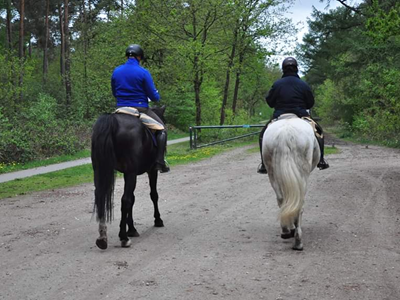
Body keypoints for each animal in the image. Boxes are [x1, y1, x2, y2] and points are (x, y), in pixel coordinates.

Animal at [91, 106, 166, 250]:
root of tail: (112, 120)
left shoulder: (130, 173)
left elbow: (133, 198)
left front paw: (131, 228)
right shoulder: (150, 171)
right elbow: (153, 195)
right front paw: (158, 220)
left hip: (100, 170)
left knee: (101, 196)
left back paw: (102, 238)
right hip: (131, 173)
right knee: (125, 200)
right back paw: (123, 238)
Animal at [260, 113, 320, 250]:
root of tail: (285, 133)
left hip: (272, 173)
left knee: (281, 199)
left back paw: (286, 231)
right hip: (302, 175)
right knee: (299, 204)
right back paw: (297, 240)